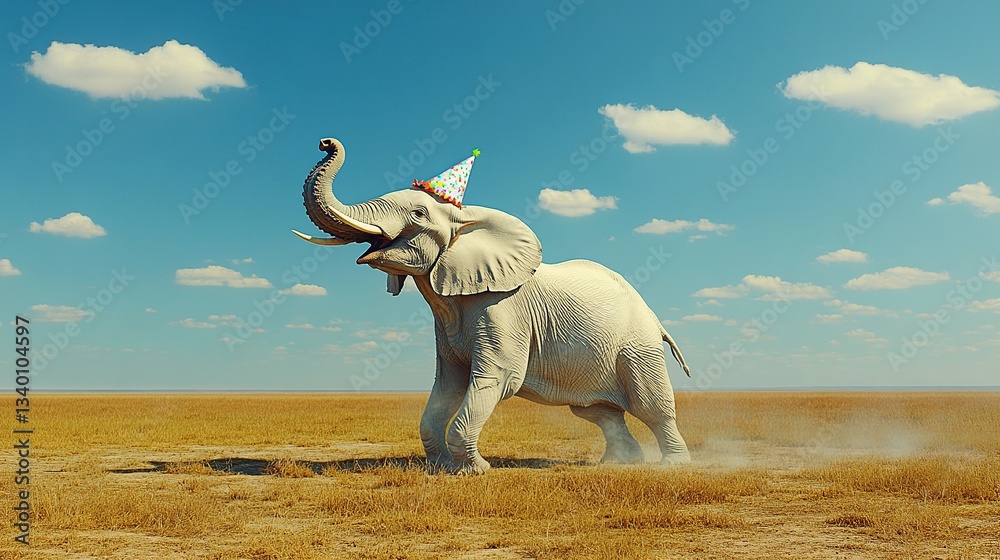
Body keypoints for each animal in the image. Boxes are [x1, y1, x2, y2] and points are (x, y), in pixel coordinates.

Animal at [293, 137, 692, 474]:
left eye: (419, 214)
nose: (325, 142)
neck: (468, 220)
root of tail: (654, 318)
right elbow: (448, 384)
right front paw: (442, 469)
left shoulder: (503, 308)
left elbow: (497, 377)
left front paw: (475, 471)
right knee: (598, 412)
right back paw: (620, 463)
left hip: (637, 347)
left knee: (651, 407)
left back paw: (673, 465)